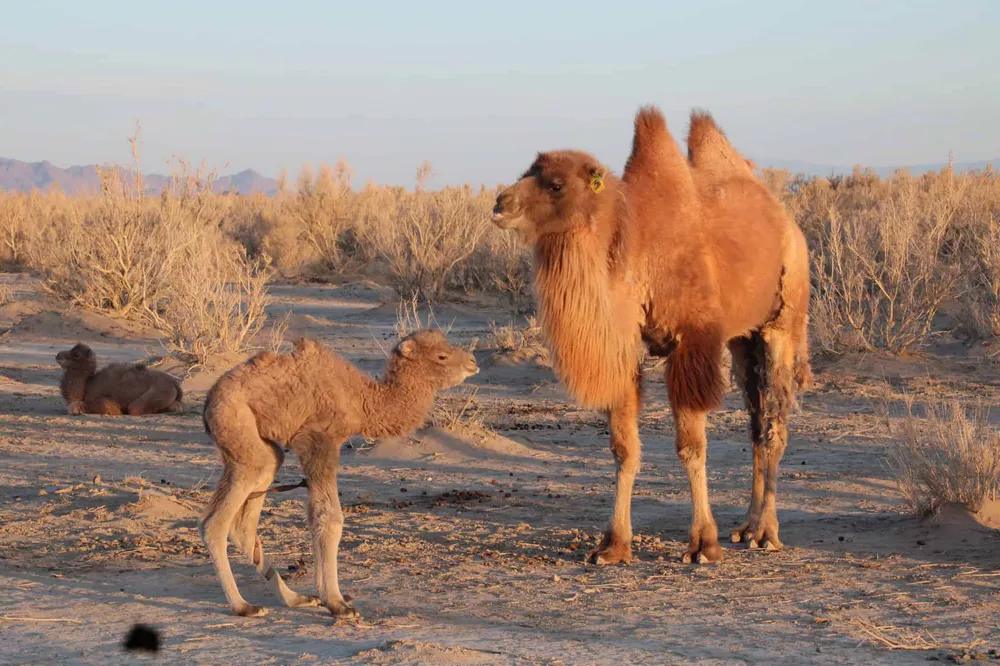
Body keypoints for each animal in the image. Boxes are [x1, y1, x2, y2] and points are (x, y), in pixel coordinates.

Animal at [56, 342, 184, 416]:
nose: (58, 356)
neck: (87, 385)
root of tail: (175, 385)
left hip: (158, 392)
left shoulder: (106, 403)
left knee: (135, 409)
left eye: (76, 355)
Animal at [200, 328, 480, 616]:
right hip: (237, 426)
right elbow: (329, 518)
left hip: (254, 447)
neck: (362, 399)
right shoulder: (318, 440)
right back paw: (243, 606)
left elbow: (320, 517)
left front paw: (330, 597)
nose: (473, 362)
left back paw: (295, 598)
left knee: (247, 516)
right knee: (215, 523)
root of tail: (209, 402)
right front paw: (337, 603)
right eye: (442, 355)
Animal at [492, 106, 812, 564]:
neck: (637, 252)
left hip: (782, 321)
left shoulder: (690, 343)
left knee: (773, 420)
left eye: (555, 184)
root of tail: (787, 221)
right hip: (741, 338)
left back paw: (767, 532)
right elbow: (624, 447)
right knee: (755, 417)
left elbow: (691, 446)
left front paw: (703, 544)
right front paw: (612, 545)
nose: (500, 204)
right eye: (526, 171)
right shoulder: (624, 346)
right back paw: (747, 527)